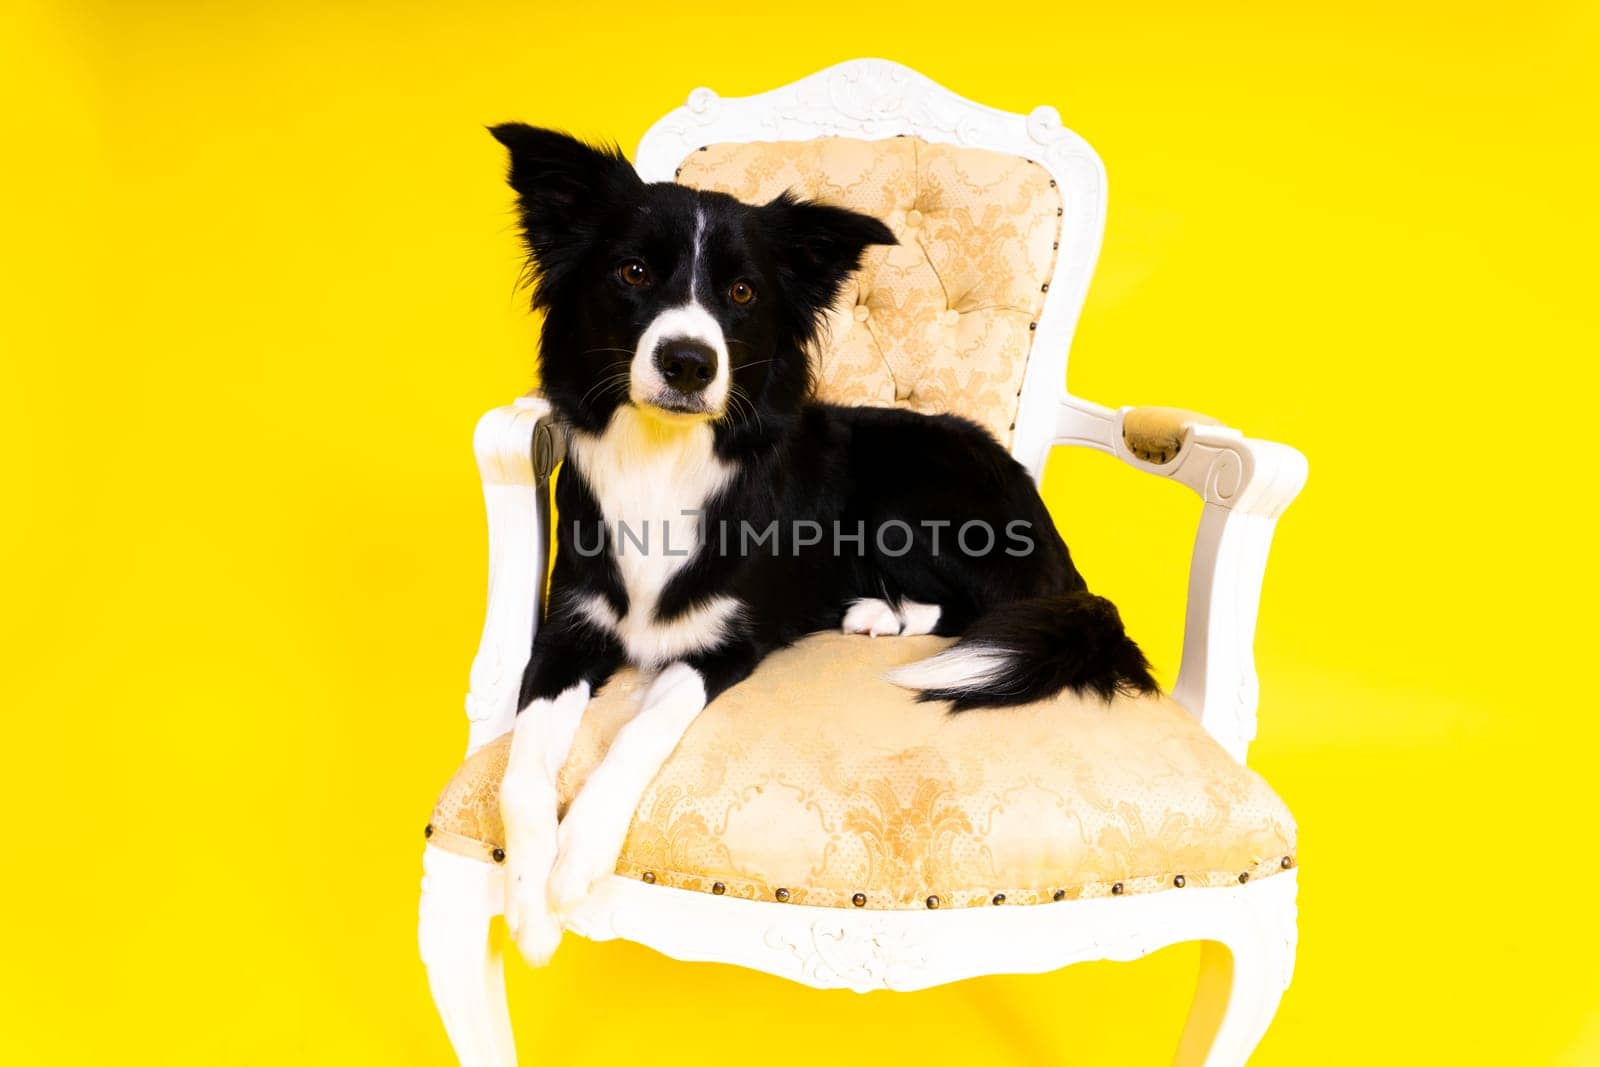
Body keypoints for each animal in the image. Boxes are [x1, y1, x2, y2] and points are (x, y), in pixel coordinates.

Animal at [486, 127, 1152, 966]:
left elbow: (642, 727)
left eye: (742, 294)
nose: (688, 363)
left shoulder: (726, 644)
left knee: (984, 605)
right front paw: (527, 901)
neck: (663, 460)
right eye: (632, 272)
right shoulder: (567, 630)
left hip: (907, 498)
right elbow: (522, 764)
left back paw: (882, 613)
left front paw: (577, 858)